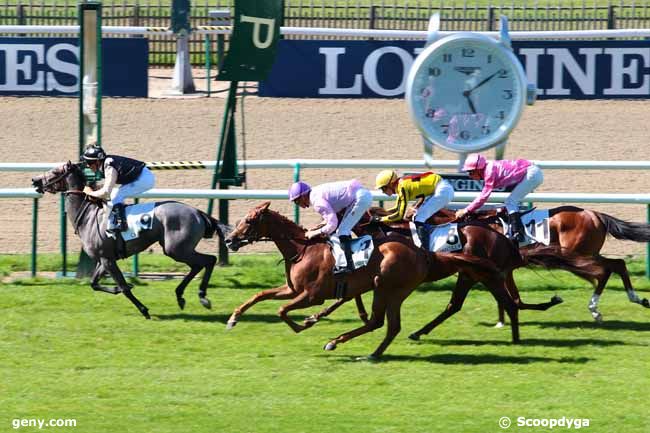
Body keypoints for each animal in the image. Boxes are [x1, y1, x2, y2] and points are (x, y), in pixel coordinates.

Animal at [33, 160, 232, 318]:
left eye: (55, 172)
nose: (35, 180)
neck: (88, 216)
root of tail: (198, 212)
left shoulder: (107, 260)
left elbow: (124, 288)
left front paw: (144, 310)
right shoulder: (104, 259)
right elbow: (94, 284)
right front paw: (116, 289)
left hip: (176, 249)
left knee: (209, 260)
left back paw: (202, 296)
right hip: (178, 249)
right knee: (198, 265)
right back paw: (181, 295)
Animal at [225, 200, 524, 358]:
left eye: (249, 221)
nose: (229, 240)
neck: (302, 249)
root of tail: (423, 253)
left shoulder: (311, 295)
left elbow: (281, 310)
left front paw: (303, 325)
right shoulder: (291, 288)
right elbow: (259, 296)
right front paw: (233, 318)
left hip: (388, 287)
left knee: (382, 322)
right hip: (403, 289)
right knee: (391, 324)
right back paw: (372, 350)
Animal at [430, 206, 648, 320]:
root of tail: (595, 214)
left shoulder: (501, 269)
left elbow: (513, 300)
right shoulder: (505, 270)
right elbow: (515, 299)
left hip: (577, 255)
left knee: (604, 271)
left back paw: (595, 309)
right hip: (586, 253)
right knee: (617, 264)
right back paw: (637, 299)